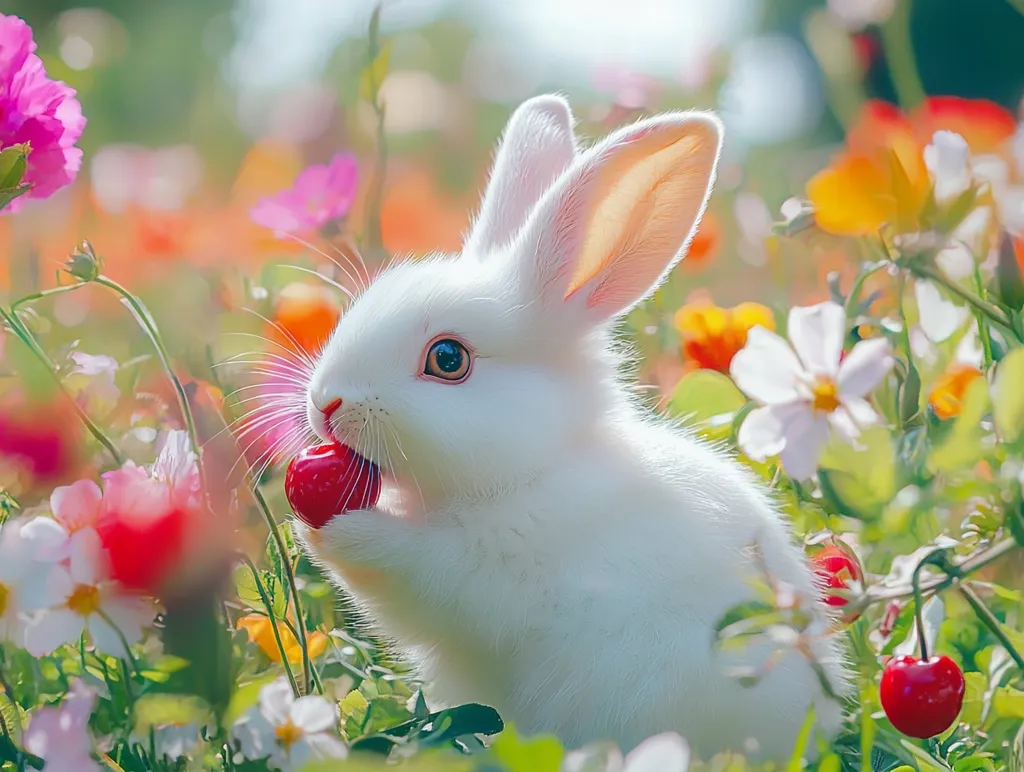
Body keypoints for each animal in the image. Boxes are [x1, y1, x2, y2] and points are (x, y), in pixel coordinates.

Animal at [293, 93, 852, 762]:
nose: (326, 403)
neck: (537, 466)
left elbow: (403, 565)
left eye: (448, 359)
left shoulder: (469, 575)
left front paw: (329, 535)